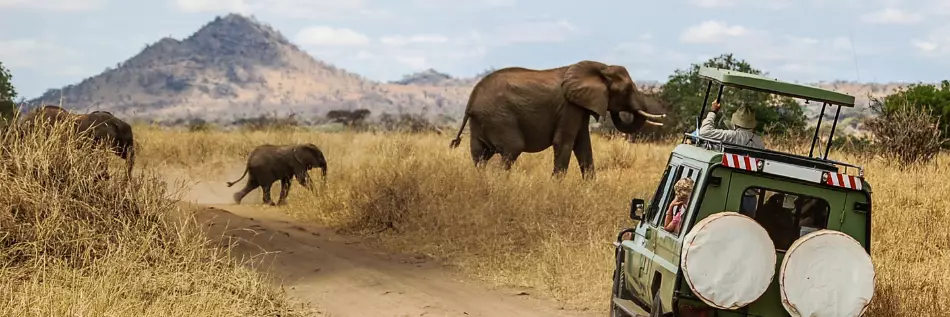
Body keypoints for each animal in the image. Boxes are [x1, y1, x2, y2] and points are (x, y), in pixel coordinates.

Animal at [448, 59, 664, 178]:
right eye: (627, 89)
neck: (600, 67)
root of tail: (471, 101)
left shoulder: (579, 106)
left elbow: (583, 145)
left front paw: (590, 187)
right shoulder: (569, 107)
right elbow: (565, 142)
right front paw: (557, 187)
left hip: (482, 121)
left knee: (480, 155)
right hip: (499, 118)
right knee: (511, 149)